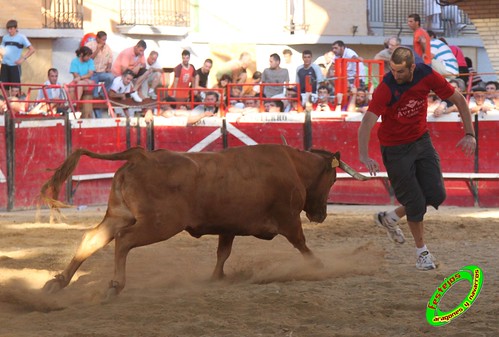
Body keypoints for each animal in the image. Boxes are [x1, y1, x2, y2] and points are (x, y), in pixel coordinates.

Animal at [40, 143, 368, 296]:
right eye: (333, 179)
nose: (321, 215)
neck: (293, 166)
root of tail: (141, 156)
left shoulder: (229, 227)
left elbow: (223, 252)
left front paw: (216, 278)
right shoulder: (288, 219)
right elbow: (302, 244)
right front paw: (319, 266)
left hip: (119, 215)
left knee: (92, 239)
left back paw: (58, 283)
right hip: (160, 224)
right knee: (125, 241)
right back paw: (115, 285)